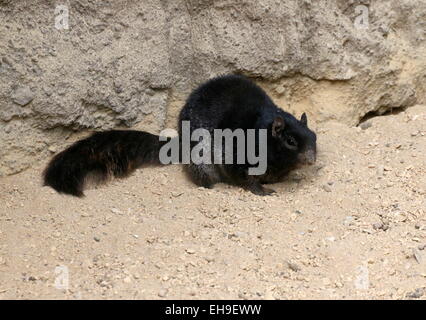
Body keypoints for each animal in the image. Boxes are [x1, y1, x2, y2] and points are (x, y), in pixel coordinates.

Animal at [43, 74, 316, 196]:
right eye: (290, 141)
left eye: (314, 136)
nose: (312, 159)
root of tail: (180, 144)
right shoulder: (235, 155)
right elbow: (243, 177)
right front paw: (262, 190)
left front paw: (286, 179)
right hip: (201, 159)